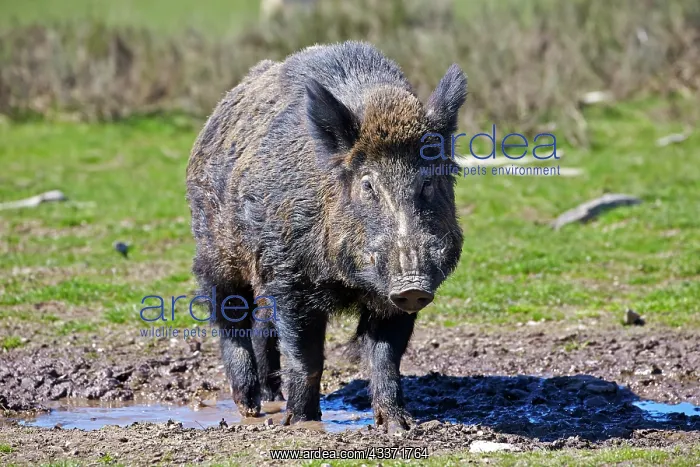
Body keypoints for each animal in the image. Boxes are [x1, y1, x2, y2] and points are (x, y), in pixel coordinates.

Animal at [186, 41, 466, 429]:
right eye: (367, 184)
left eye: (427, 183)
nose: (411, 284)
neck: (348, 280)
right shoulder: (290, 277)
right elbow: (306, 357)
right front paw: (302, 424)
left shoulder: (394, 300)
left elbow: (385, 358)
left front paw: (398, 424)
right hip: (215, 250)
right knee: (229, 316)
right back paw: (250, 408)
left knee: (262, 326)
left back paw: (272, 400)